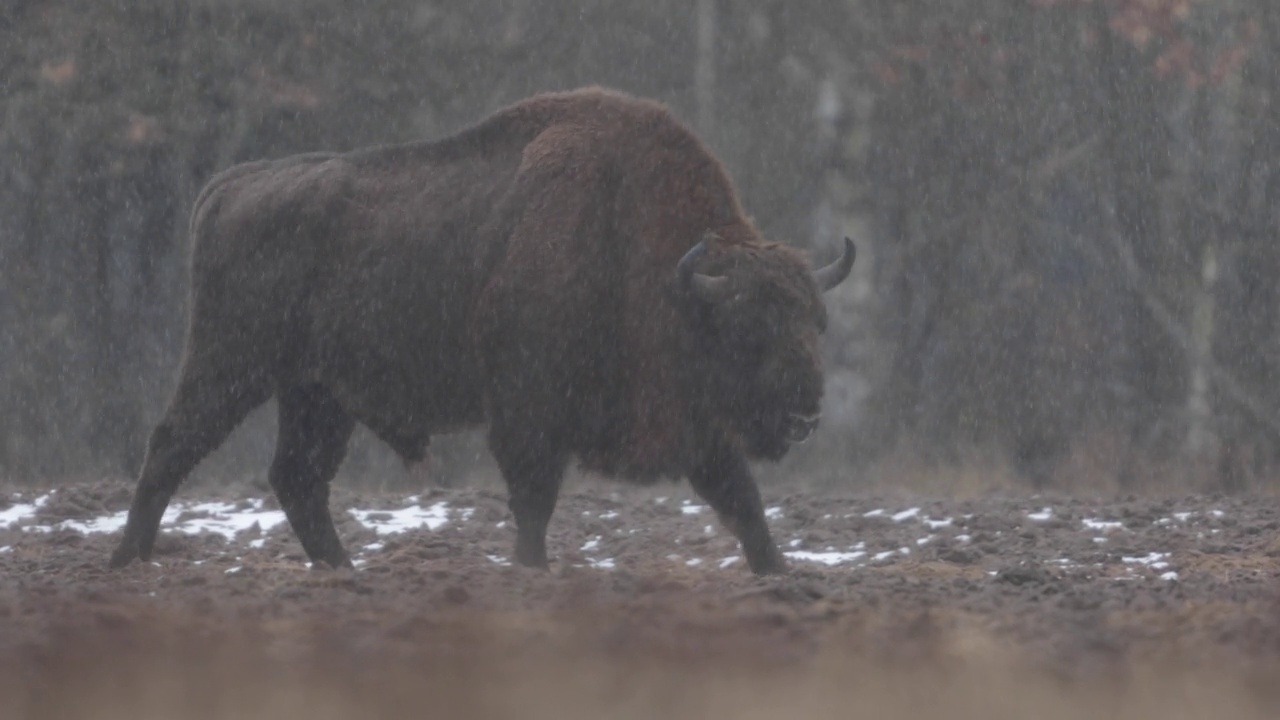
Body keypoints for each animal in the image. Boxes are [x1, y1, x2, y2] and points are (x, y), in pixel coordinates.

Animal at [107, 87, 849, 573]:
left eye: (816, 323)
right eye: (750, 327)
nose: (807, 410)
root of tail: (228, 187)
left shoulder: (700, 433)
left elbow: (744, 504)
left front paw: (780, 576)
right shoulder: (528, 412)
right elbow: (534, 499)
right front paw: (530, 572)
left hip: (318, 393)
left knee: (297, 478)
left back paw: (343, 573)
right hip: (232, 364)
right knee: (173, 444)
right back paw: (128, 563)